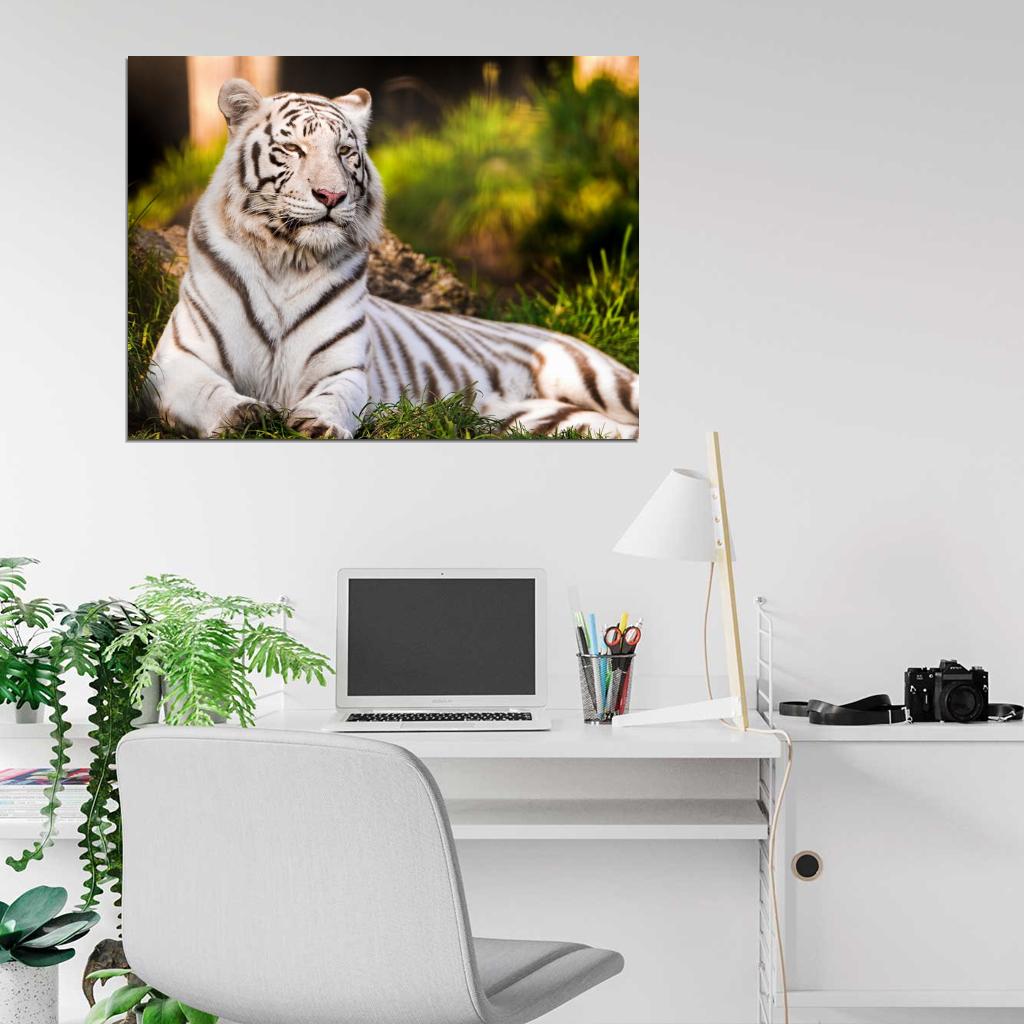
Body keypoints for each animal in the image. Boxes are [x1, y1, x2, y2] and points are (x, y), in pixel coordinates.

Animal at [145, 78, 639, 440]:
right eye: (293, 149)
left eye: (345, 152)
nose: (331, 195)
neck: (287, 258)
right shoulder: (175, 362)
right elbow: (210, 392)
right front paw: (245, 416)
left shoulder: (343, 369)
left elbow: (333, 398)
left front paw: (316, 424)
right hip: (547, 420)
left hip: (602, 380)